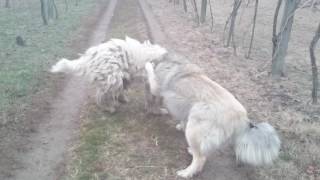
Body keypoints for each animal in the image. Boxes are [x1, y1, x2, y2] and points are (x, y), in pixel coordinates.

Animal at [145, 52, 280, 178]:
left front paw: (148, 64)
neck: (174, 61)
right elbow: (183, 118)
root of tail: (243, 119)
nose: (152, 60)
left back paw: (187, 172)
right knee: (200, 153)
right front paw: (181, 125)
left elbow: (151, 72)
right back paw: (191, 152)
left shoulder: (156, 87)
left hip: (193, 128)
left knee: (200, 158)